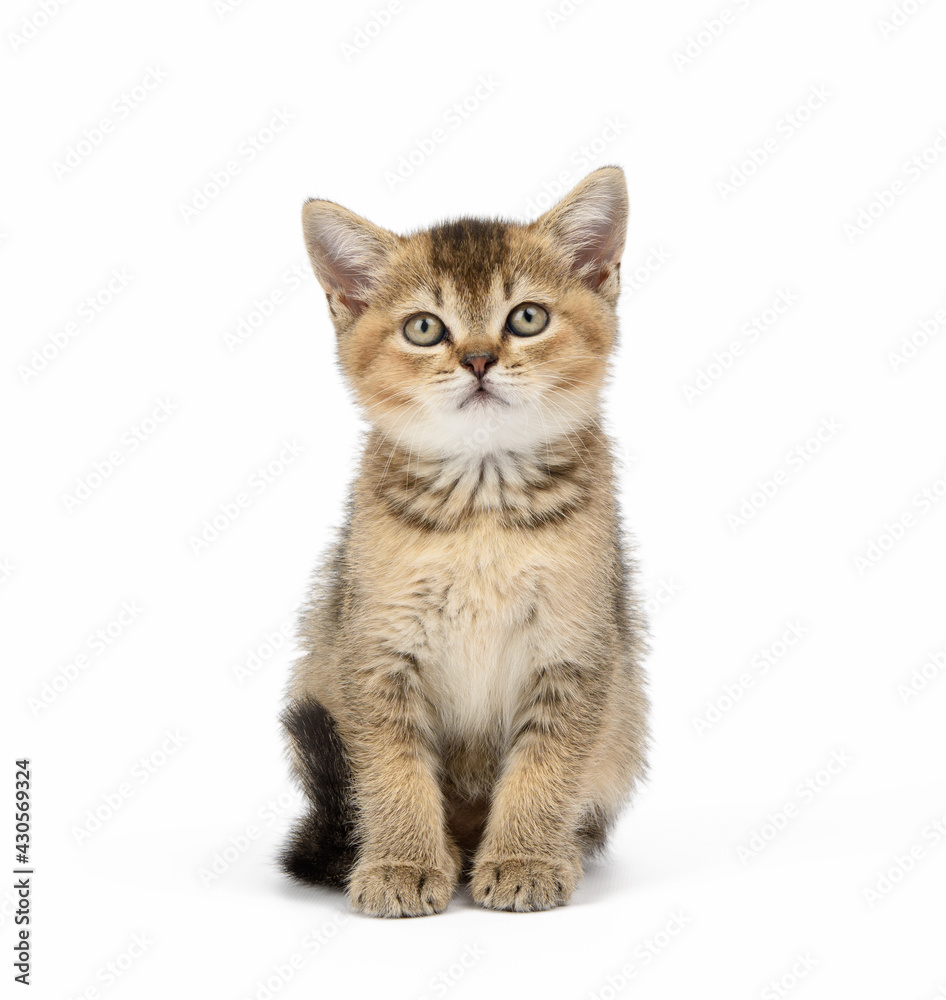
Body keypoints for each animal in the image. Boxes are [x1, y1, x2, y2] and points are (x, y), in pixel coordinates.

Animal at [280, 166, 648, 916]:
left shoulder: (577, 649)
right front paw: (403, 863)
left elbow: (546, 765)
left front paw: (525, 857)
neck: (482, 506)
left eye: (527, 317)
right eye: (424, 328)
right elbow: (392, 770)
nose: (479, 359)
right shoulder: (375, 649)